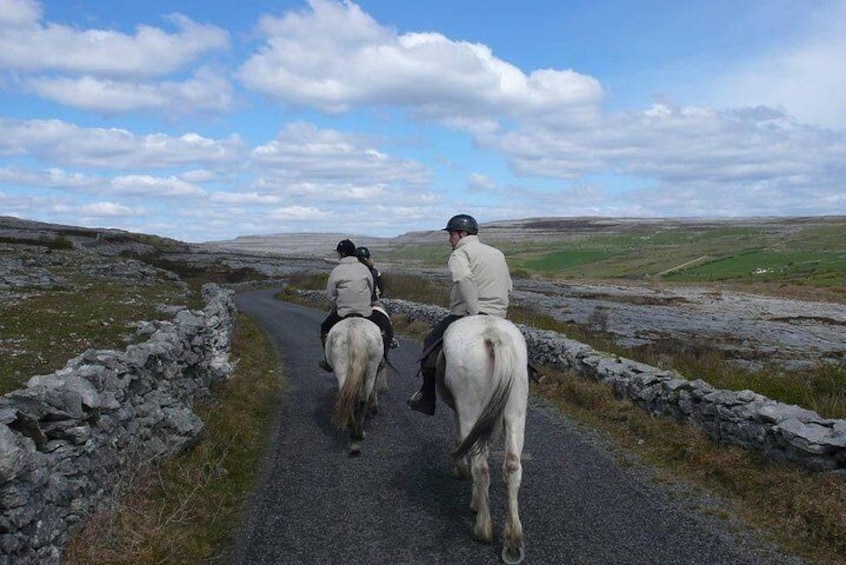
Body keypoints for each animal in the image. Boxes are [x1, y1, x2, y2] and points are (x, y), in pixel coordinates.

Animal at [326, 318, 390, 454]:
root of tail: (356, 330)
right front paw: (374, 406)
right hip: (371, 368)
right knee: (363, 397)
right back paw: (359, 433)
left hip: (343, 367)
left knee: (349, 397)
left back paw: (354, 430)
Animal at [438, 316, 528, 560]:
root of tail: (493, 334)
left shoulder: (463, 414)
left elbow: (462, 441)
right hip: (516, 413)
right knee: (513, 466)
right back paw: (513, 539)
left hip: (471, 409)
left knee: (480, 466)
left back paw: (483, 528)